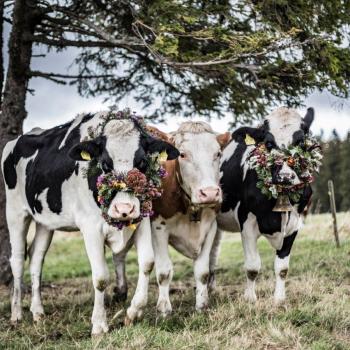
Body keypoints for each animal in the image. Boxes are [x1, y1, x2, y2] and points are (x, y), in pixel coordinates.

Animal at [0, 111, 178, 334]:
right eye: (105, 164)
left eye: (142, 163)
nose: (124, 209)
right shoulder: (91, 228)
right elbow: (100, 277)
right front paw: (99, 325)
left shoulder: (142, 220)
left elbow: (147, 263)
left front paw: (133, 313)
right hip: (15, 212)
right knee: (17, 260)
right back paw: (16, 314)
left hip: (45, 221)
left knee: (36, 258)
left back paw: (38, 313)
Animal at [212, 107, 316, 304]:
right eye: (268, 143)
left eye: (300, 141)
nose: (285, 177)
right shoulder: (246, 221)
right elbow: (253, 267)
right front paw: (250, 300)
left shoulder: (295, 224)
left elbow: (282, 268)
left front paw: (279, 300)